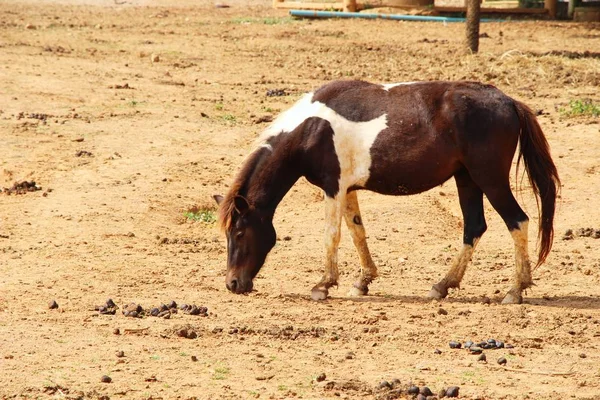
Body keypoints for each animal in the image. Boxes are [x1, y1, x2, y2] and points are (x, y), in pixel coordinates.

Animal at [213, 80, 560, 304]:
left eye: (240, 233)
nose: (233, 283)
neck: (311, 128)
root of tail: (508, 102)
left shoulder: (332, 187)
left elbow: (332, 235)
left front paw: (324, 285)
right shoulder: (347, 188)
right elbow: (357, 232)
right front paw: (362, 281)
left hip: (489, 179)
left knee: (518, 221)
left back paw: (515, 290)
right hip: (467, 180)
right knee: (474, 228)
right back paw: (442, 286)